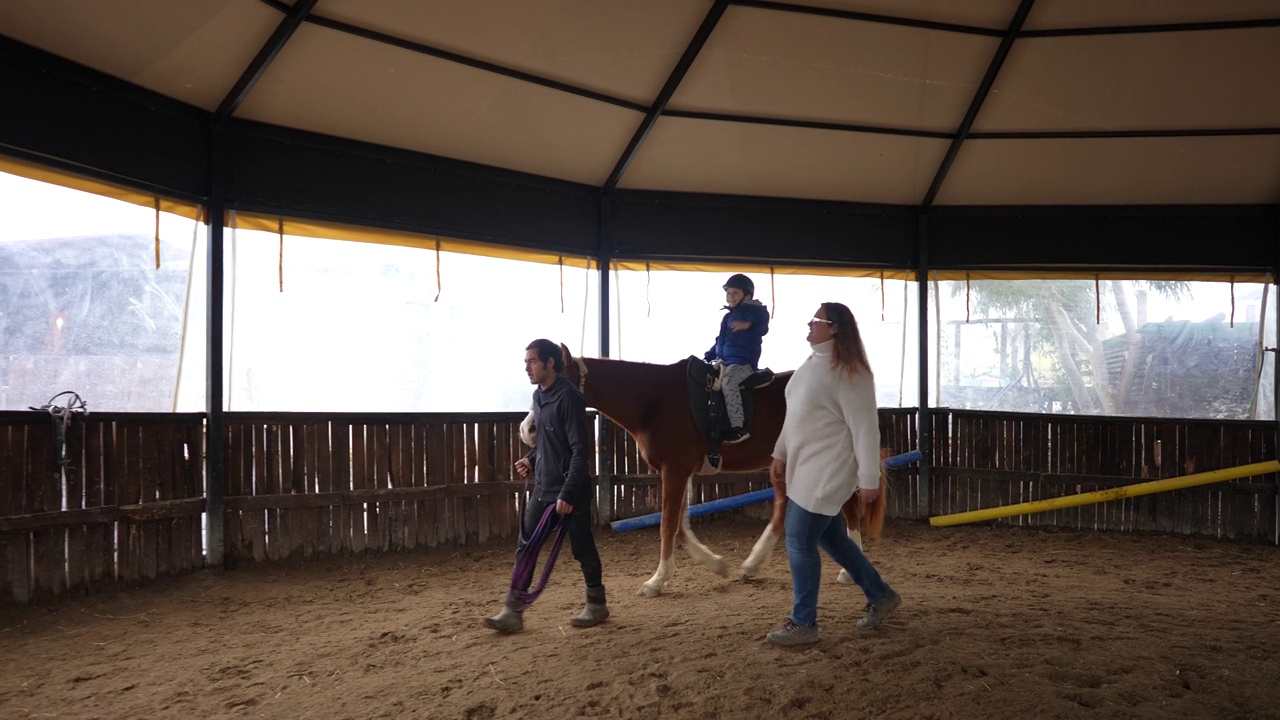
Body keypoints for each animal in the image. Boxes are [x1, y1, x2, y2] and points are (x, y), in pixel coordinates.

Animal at [527, 340, 880, 594]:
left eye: (554, 384)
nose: (528, 430)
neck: (654, 401)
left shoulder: (674, 470)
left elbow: (667, 524)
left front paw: (656, 581)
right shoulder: (679, 472)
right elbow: (680, 526)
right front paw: (716, 565)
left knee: (844, 507)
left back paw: (847, 569)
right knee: (784, 507)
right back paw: (752, 565)